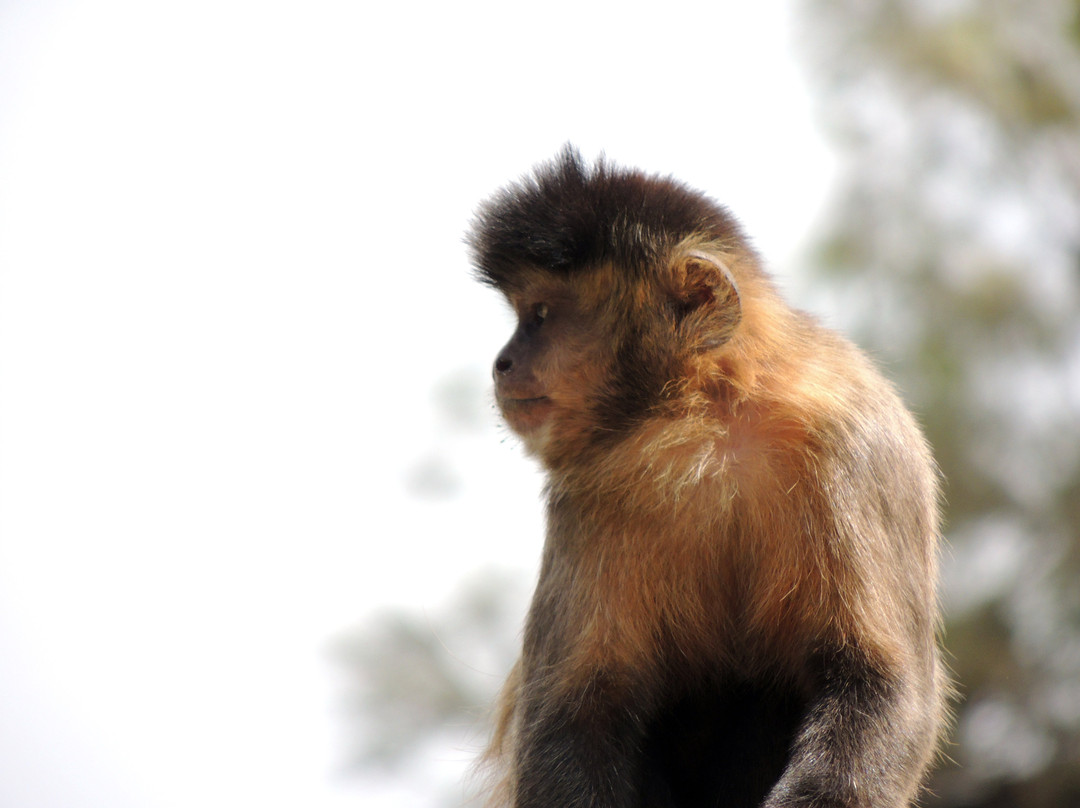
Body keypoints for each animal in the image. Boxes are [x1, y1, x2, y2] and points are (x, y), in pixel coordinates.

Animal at [467, 147, 948, 808]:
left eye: (539, 315)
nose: (503, 362)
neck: (713, 418)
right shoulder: (593, 482)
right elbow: (573, 713)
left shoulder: (850, 438)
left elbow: (881, 683)